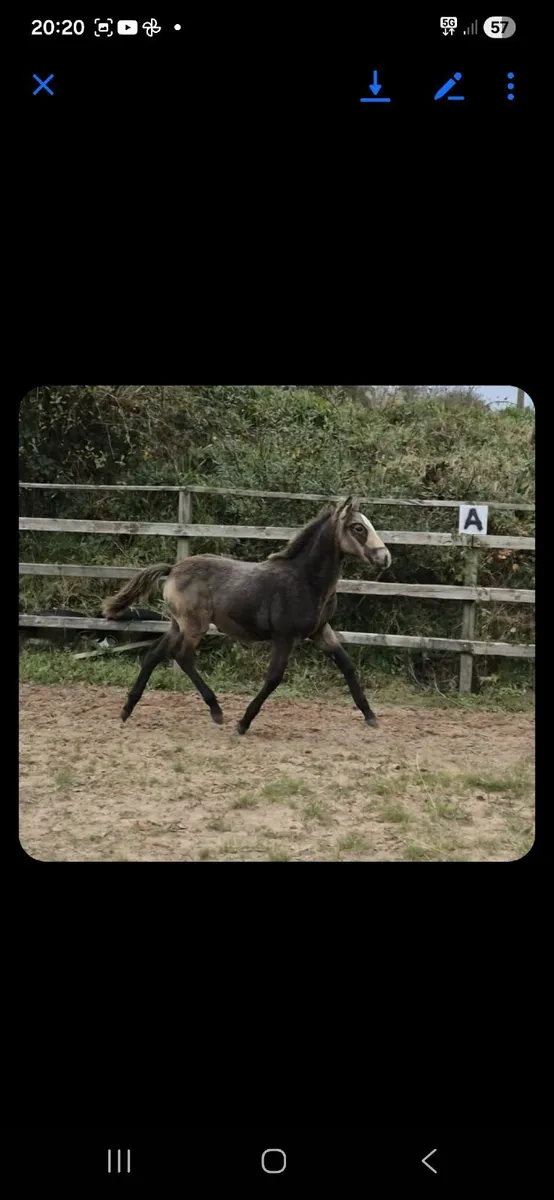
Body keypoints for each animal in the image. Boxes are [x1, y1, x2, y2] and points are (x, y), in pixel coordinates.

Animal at [102, 497, 392, 734]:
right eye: (358, 528)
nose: (385, 557)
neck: (305, 579)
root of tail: (173, 569)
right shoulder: (285, 637)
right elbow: (274, 677)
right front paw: (243, 723)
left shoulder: (321, 631)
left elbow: (346, 665)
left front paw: (371, 716)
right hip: (195, 626)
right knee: (181, 656)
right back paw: (216, 711)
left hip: (177, 624)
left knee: (155, 654)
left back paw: (126, 709)